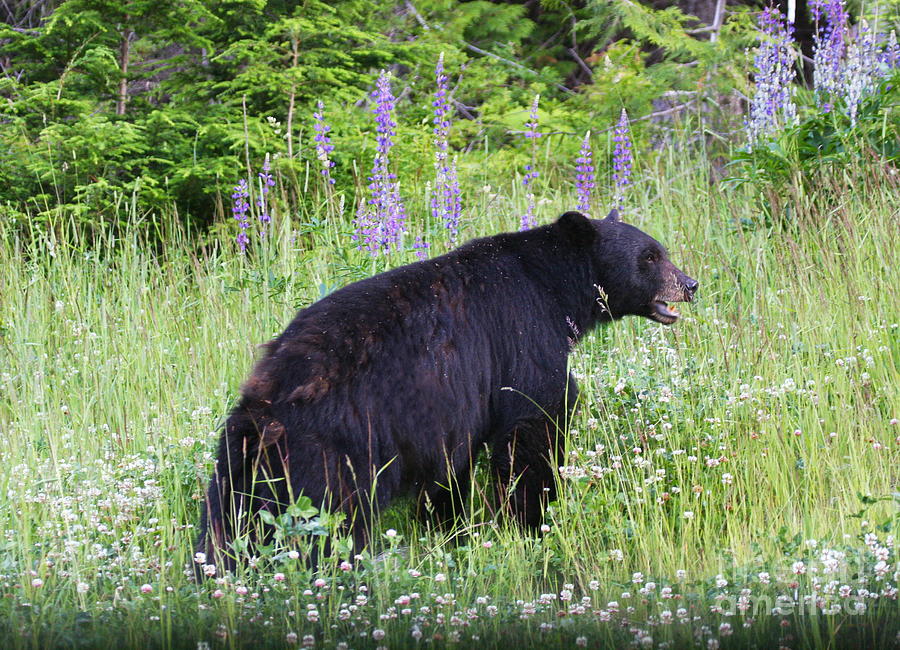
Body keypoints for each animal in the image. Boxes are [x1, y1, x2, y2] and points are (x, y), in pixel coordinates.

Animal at [200, 210, 700, 564]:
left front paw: (450, 525)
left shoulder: (450, 413)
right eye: (650, 257)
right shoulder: (523, 335)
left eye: (661, 250)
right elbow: (533, 423)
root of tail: (268, 396)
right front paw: (532, 520)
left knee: (231, 515)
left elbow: (453, 469)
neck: (553, 286)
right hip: (334, 451)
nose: (690, 284)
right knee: (329, 517)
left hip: (245, 456)